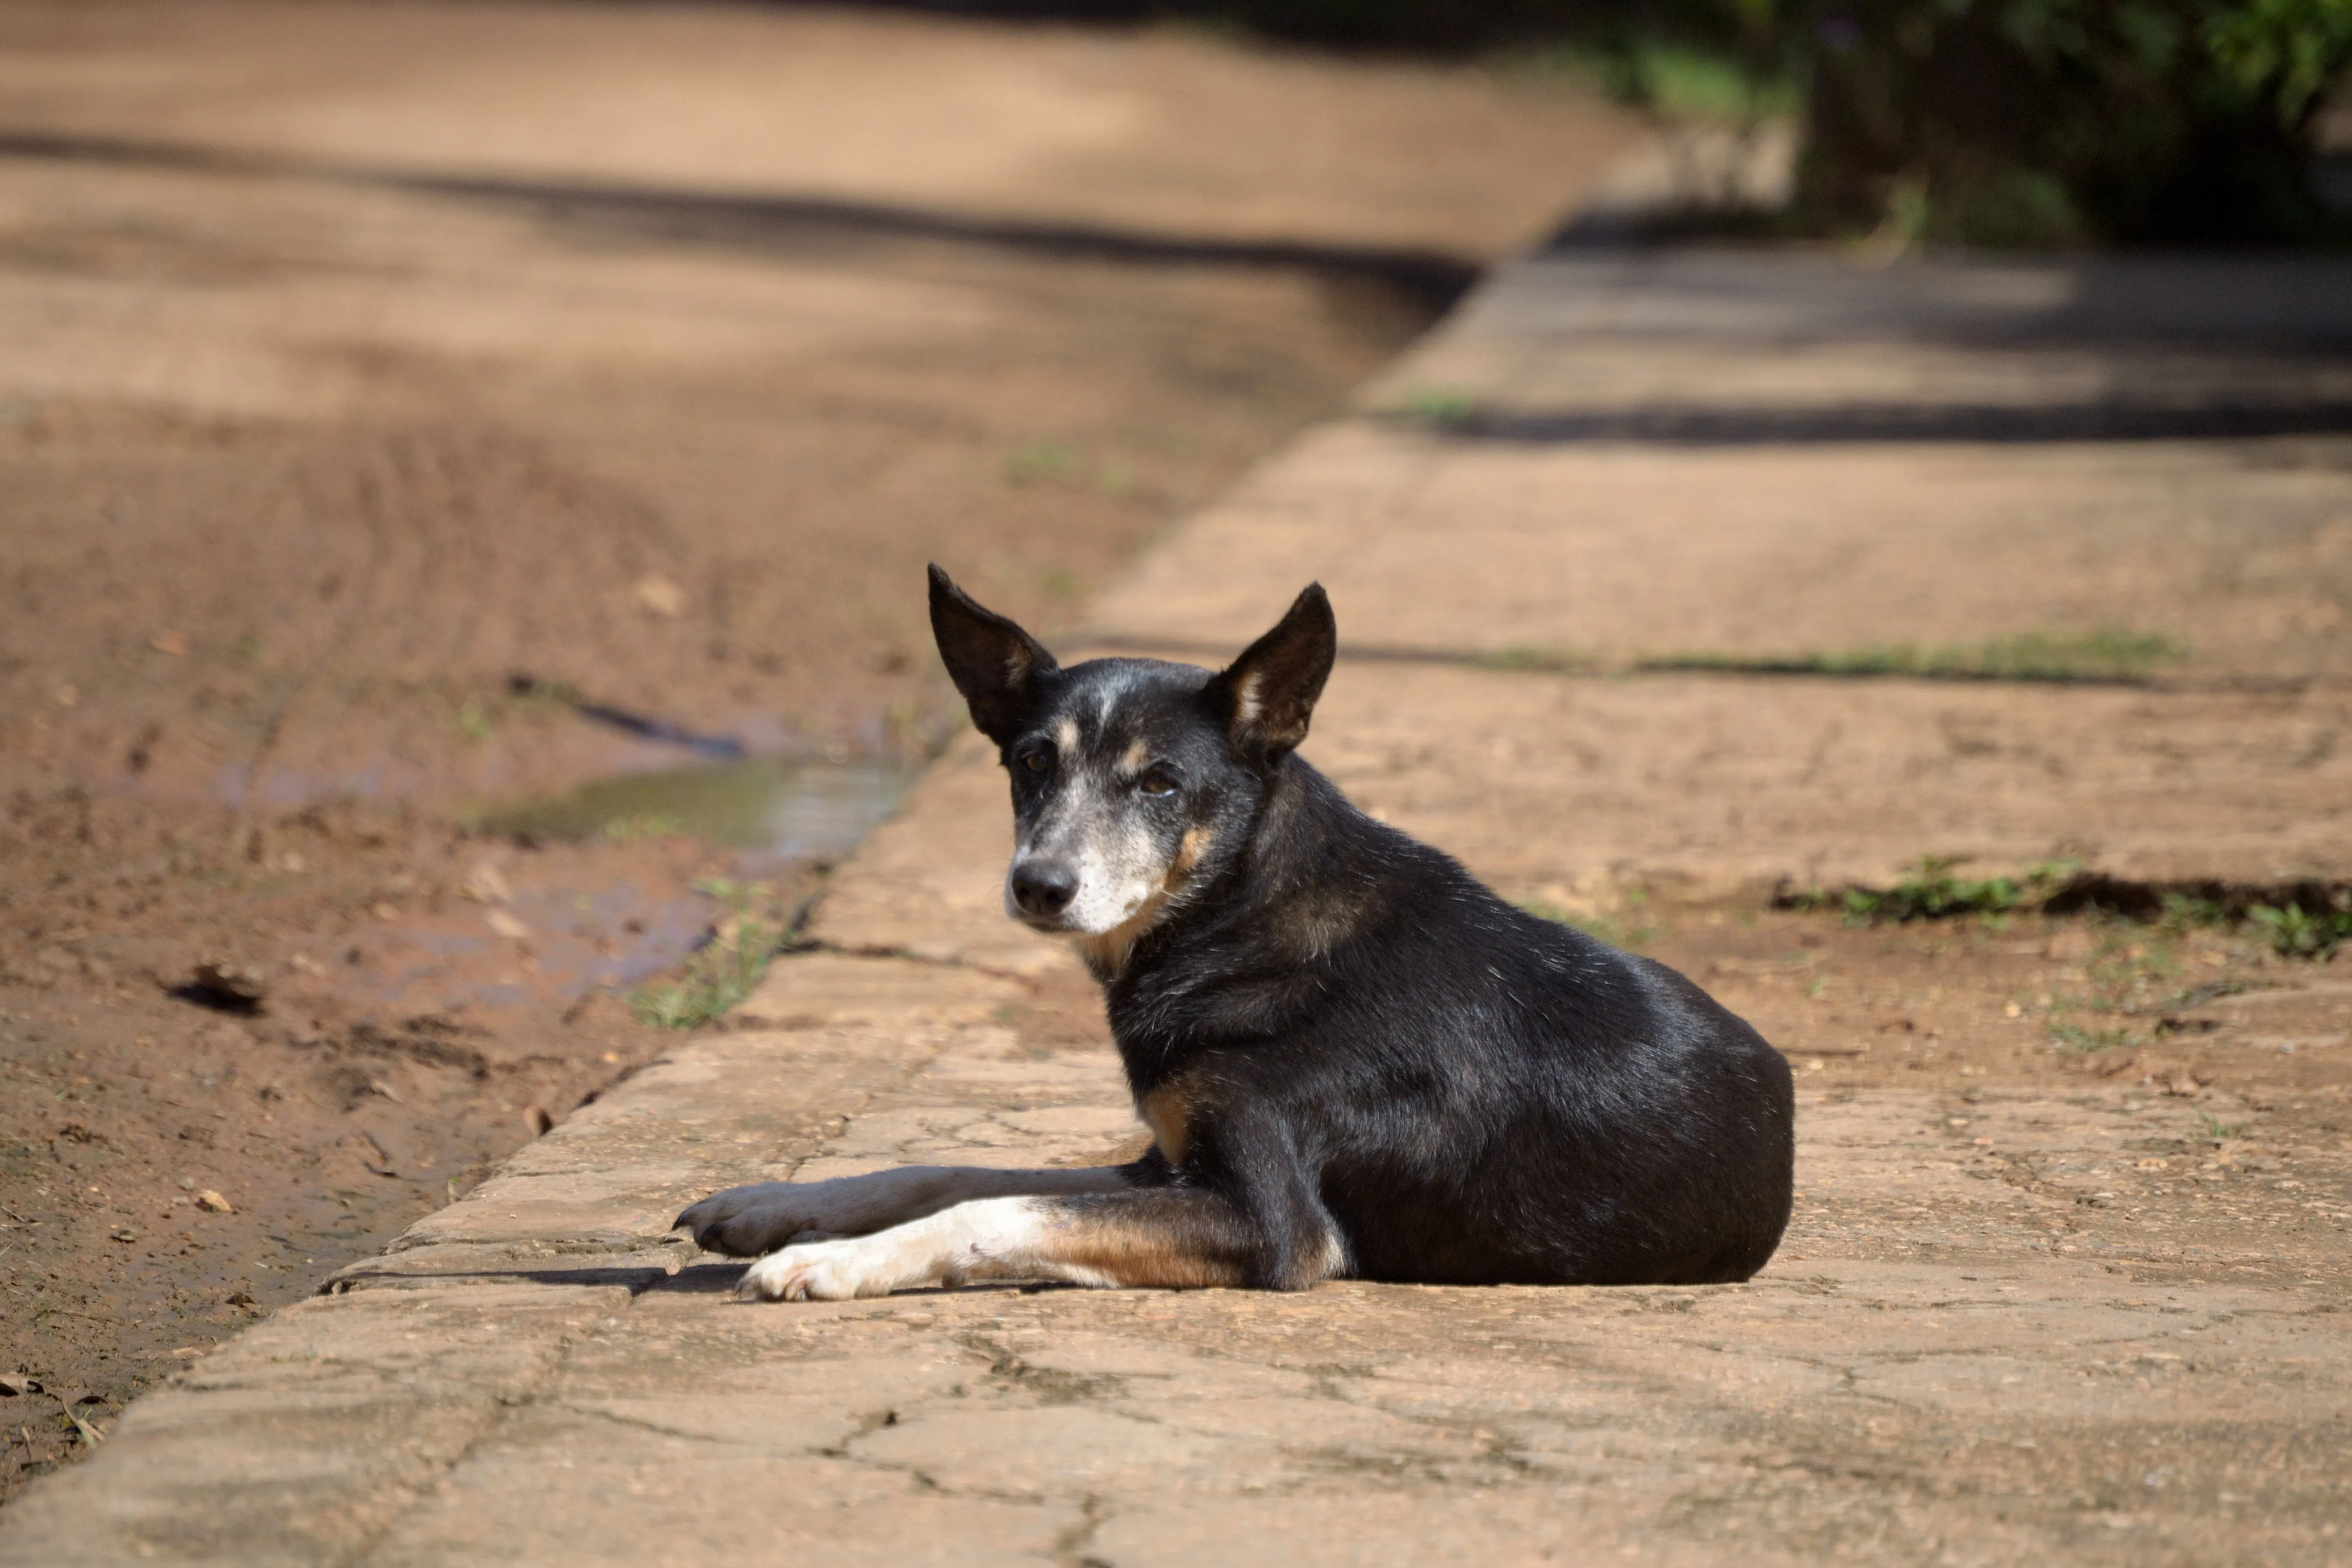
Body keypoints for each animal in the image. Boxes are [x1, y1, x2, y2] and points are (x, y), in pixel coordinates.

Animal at [682, 571, 1797, 1307]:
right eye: (1033, 762)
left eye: (1160, 782)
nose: (1038, 886)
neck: (1238, 917)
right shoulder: (1167, 1162)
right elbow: (949, 1172)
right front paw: (777, 1204)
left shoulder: (1271, 1225)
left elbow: (996, 1212)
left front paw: (826, 1259)